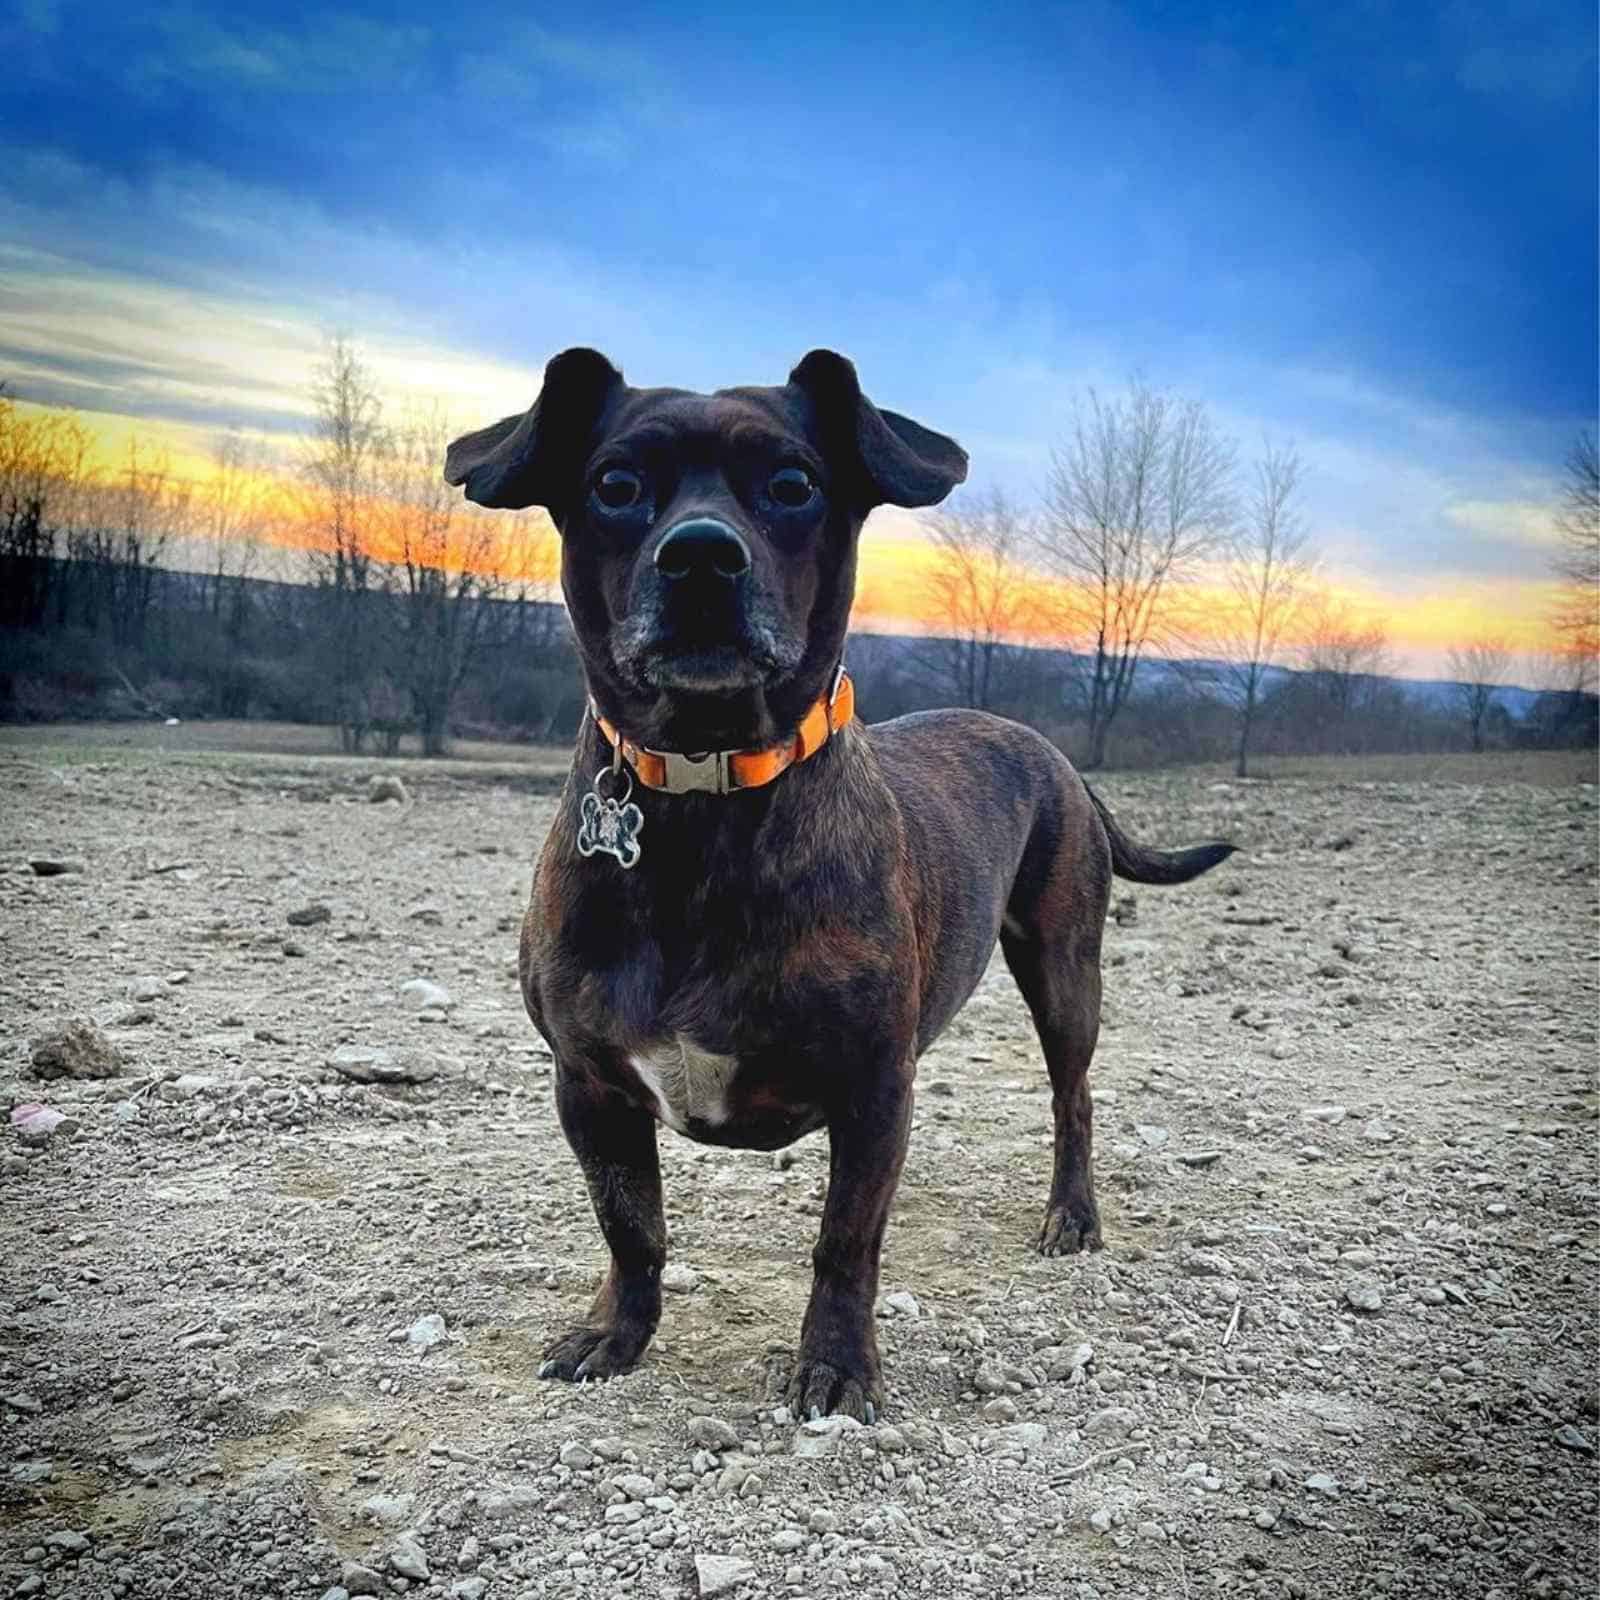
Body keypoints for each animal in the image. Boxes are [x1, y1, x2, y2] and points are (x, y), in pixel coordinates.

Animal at [444, 353, 1228, 1427]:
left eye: (792, 484)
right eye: (614, 483)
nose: (700, 557)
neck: (709, 791)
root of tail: (1051, 750)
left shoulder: (872, 1088)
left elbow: (846, 1239)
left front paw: (837, 1364)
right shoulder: (588, 1086)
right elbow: (631, 1226)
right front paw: (618, 1332)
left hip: (1065, 975)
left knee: (1074, 1101)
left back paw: (1073, 1214)